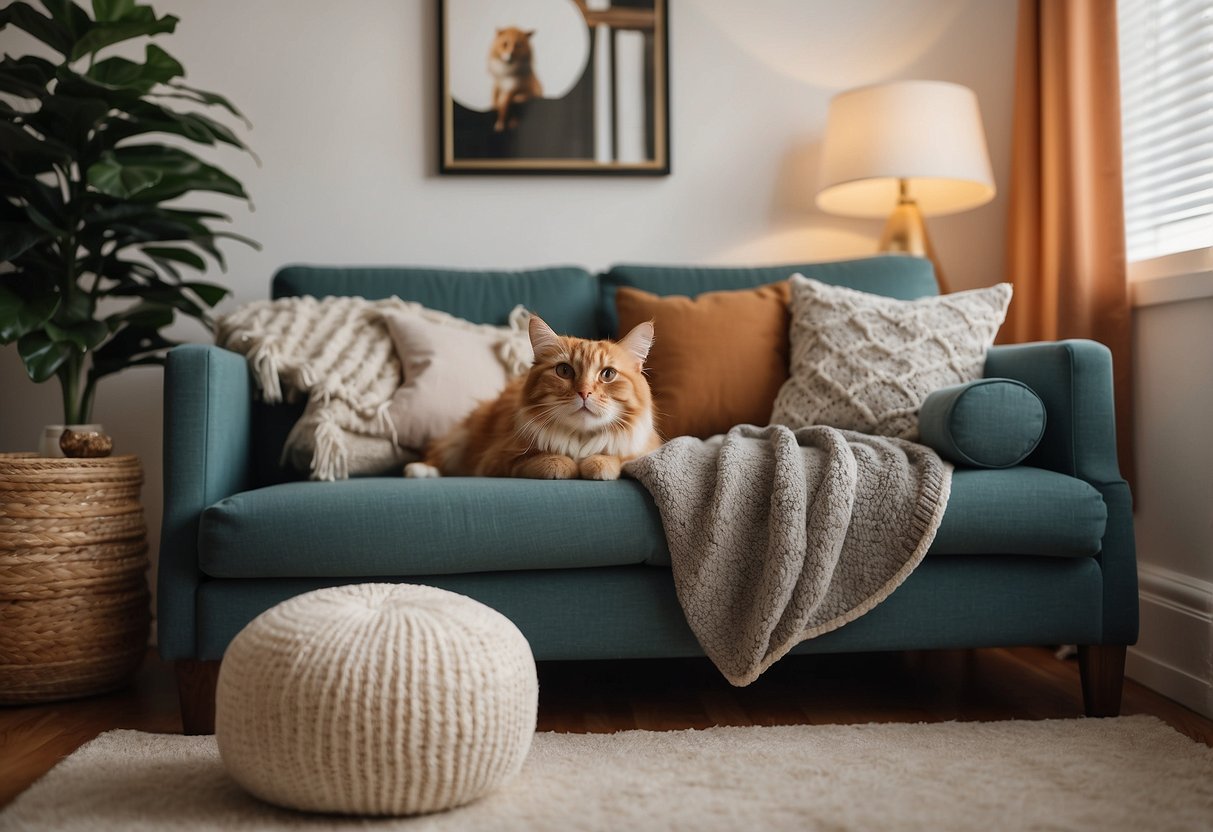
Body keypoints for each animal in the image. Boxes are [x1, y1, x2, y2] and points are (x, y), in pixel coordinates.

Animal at [402, 315, 659, 482]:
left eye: (608, 374)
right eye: (564, 371)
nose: (584, 392)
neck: (579, 441)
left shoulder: (643, 449)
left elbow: (615, 459)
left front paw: (597, 463)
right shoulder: (497, 459)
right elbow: (547, 460)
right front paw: (567, 464)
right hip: (460, 439)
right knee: (437, 457)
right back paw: (420, 470)